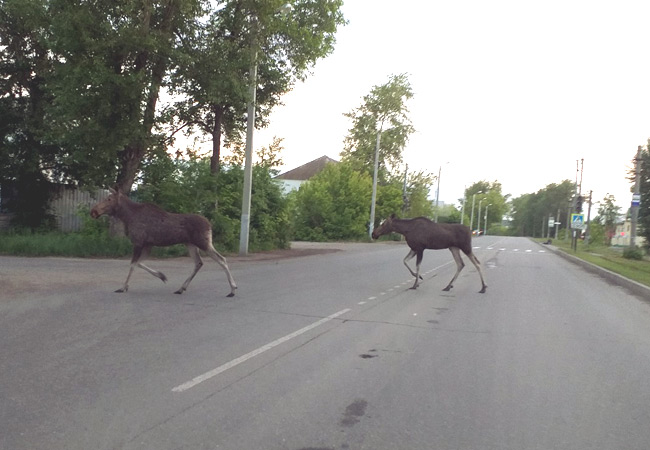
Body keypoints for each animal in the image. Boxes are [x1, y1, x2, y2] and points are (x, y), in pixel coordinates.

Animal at [90, 188, 237, 297]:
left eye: (109, 199)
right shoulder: (147, 244)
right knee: (199, 263)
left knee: (221, 259)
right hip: (190, 244)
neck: (127, 217)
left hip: (203, 243)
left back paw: (232, 289)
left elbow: (132, 264)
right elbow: (139, 263)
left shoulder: (138, 242)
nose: (93, 211)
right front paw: (161, 275)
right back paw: (181, 288)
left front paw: (123, 287)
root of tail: (210, 225)